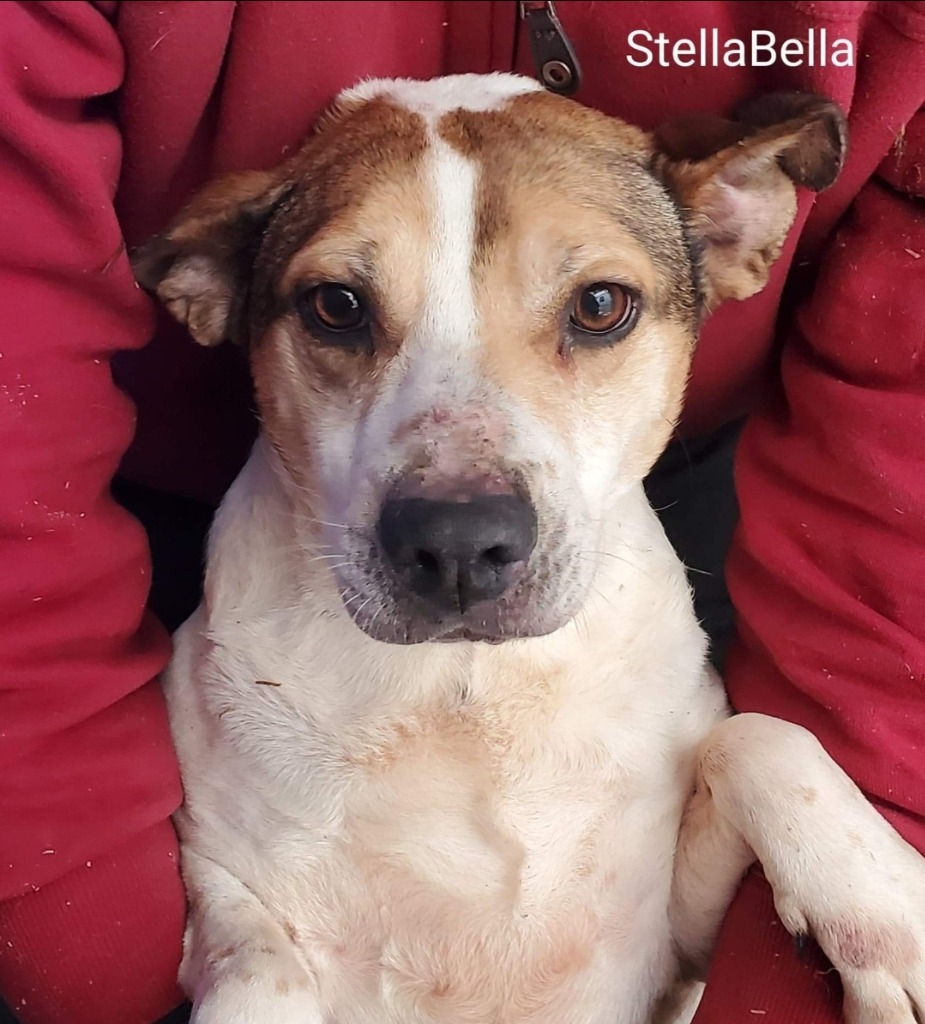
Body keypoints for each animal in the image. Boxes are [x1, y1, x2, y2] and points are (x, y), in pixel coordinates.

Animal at [135, 74, 925, 1024]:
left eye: (599, 305)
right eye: (336, 305)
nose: (455, 542)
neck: (463, 696)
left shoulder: (673, 949)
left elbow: (757, 738)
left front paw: (885, 914)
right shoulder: (219, 876)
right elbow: (261, 969)